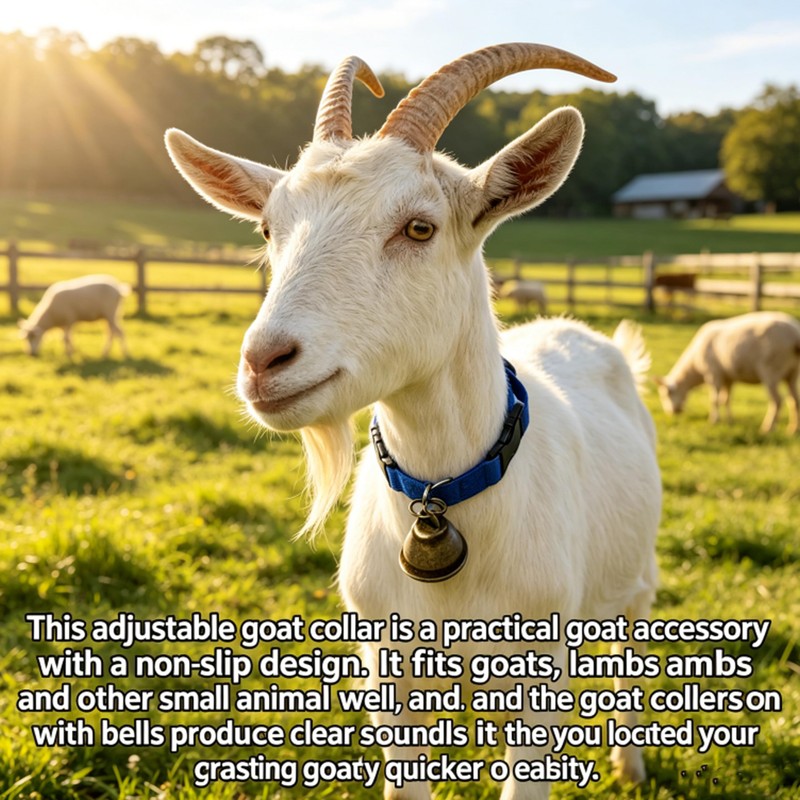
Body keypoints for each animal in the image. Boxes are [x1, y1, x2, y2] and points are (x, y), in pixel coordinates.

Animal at [166, 44, 661, 799]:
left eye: (419, 227)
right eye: (268, 228)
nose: (264, 362)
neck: (442, 492)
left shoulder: (539, 673)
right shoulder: (388, 667)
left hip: (639, 580)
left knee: (630, 648)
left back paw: (631, 766)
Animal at [655, 311, 800, 433]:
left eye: (665, 395)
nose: (672, 413)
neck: (694, 367)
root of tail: (795, 335)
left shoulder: (713, 374)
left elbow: (715, 399)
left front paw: (714, 421)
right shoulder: (728, 377)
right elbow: (726, 399)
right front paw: (730, 421)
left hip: (771, 371)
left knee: (777, 400)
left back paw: (768, 428)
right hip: (793, 372)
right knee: (794, 400)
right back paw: (793, 429)